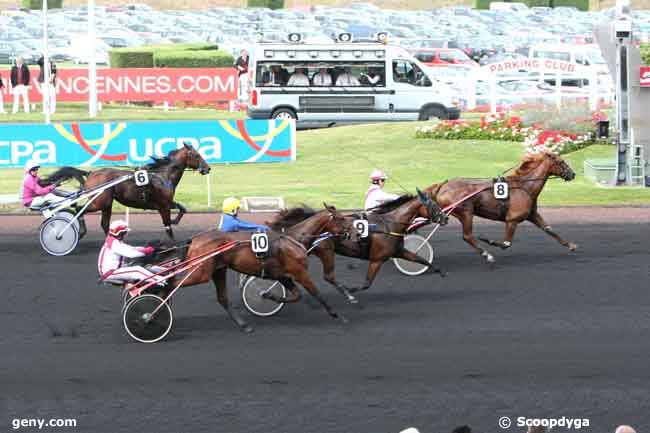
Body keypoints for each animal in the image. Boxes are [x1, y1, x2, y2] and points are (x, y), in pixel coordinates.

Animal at [42, 143, 210, 238]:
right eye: (196, 155)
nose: (207, 168)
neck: (163, 175)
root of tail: (91, 173)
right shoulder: (163, 206)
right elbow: (168, 227)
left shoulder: (166, 202)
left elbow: (182, 208)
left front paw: (176, 220)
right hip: (98, 202)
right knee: (78, 209)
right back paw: (77, 232)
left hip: (106, 204)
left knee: (104, 224)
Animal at [160, 204, 356, 332]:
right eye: (341, 218)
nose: (354, 234)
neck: (294, 240)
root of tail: (194, 239)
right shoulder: (300, 272)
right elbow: (317, 294)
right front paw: (338, 315)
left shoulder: (282, 276)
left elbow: (296, 295)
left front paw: (270, 296)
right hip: (201, 272)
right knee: (171, 283)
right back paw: (158, 309)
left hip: (218, 271)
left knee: (222, 299)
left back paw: (244, 326)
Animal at [428, 150, 576, 262]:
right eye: (561, 161)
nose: (572, 174)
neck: (524, 187)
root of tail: (443, 186)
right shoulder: (512, 219)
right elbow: (506, 243)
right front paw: (489, 240)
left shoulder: (532, 215)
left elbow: (549, 230)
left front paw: (571, 245)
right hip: (465, 213)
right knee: (467, 236)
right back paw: (487, 254)